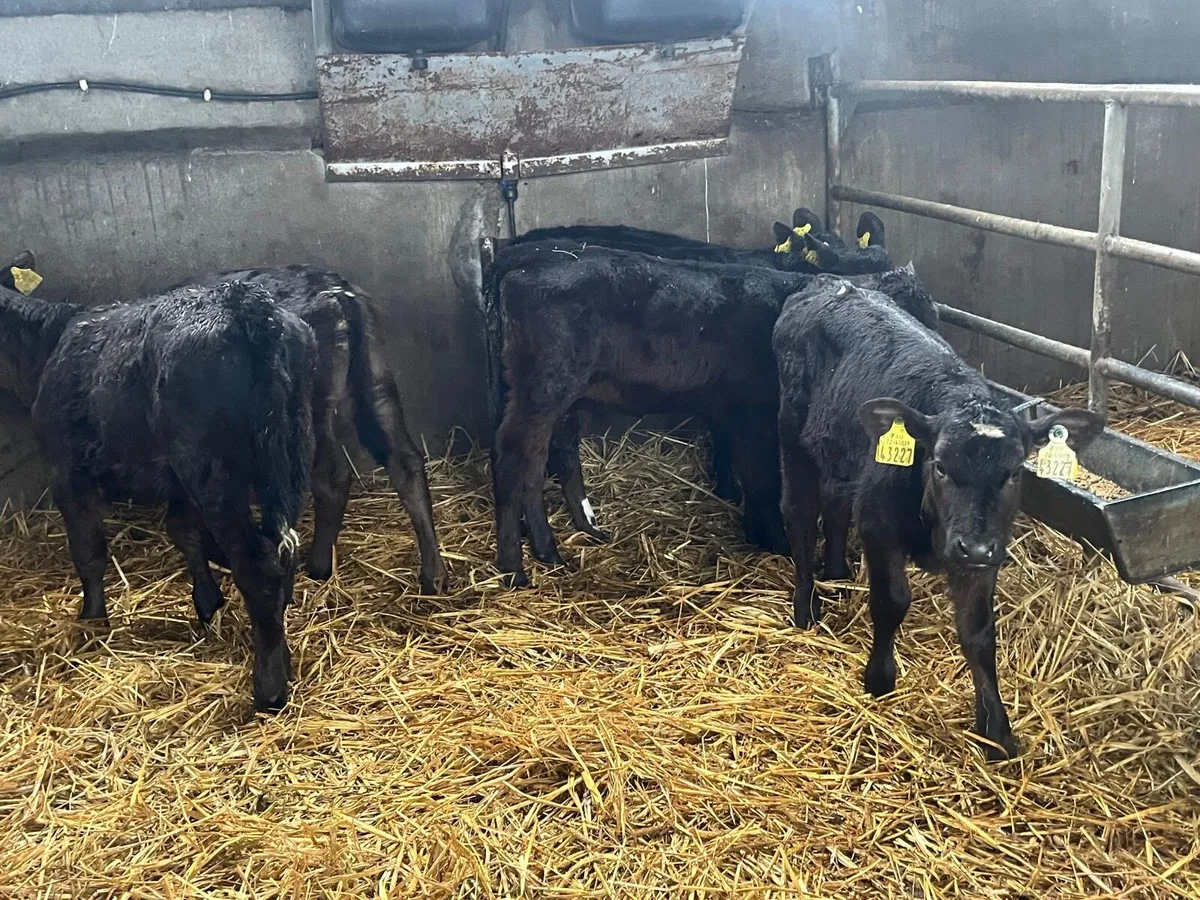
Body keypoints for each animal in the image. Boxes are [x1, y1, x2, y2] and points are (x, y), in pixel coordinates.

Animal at [0, 278, 318, 711]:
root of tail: (244, 302)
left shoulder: (66, 472)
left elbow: (89, 553)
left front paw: (93, 621)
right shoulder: (178, 483)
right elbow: (184, 532)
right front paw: (207, 603)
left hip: (211, 469)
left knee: (258, 563)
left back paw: (269, 687)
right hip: (287, 456)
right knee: (284, 550)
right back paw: (281, 655)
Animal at [772, 277, 1103, 758]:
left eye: (1015, 471)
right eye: (941, 465)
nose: (974, 546)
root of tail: (831, 283)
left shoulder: (984, 554)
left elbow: (979, 631)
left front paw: (996, 730)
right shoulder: (879, 526)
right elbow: (892, 601)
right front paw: (879, 679)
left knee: (834, 507)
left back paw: (837, 572)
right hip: (793, 438)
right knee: (799, 515)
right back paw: (805, 607)